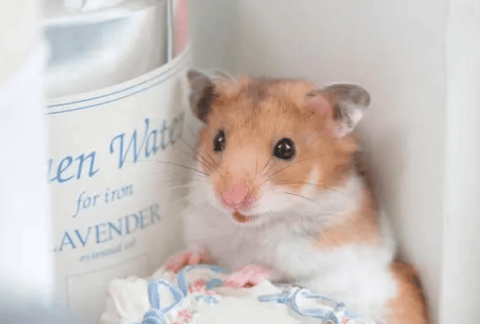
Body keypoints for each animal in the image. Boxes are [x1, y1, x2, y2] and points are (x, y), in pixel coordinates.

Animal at [168, 69, 428, 322]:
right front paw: (181, 260)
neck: (254, 228)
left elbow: (283, 269)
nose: (231, 199)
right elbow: (204, 249)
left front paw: (241, 276)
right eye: (218, 140)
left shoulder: (329, 257)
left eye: (286, 148)